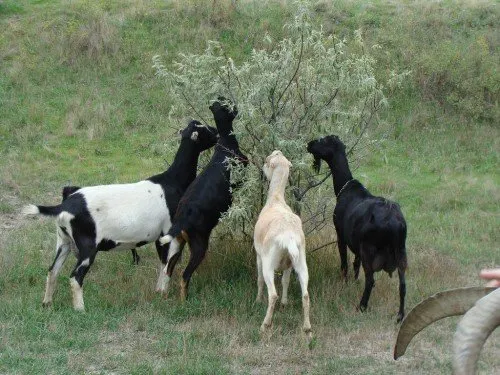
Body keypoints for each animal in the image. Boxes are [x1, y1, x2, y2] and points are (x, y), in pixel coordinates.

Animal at [23, 121, 218, 312]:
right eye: (205, 129)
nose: (217, 132)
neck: (172, 181)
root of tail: (64, 206)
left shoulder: (159, 236)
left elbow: (163, 263)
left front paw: (158, 291)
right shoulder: (167, 232)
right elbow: (167, 263)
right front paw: (163, 291)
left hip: (64, 241)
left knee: (52, 270)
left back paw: (47, 304)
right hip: (87, 247)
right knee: (75, 276)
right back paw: (80, 310)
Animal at [158, 97, 248, 302]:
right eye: (226, 105)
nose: (235, 105)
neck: (225, 144)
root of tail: (181, 220)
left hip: (178, 244)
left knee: (169, 268)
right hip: (199, 247)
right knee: (185, 276)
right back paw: (185, 301)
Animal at [254, 151, 312, 336]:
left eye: (267, 162)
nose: (262, 172)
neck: (276, 200)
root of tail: (289, 237)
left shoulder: (258, 255)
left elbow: (259, 279)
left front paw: (257, 300)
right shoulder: (288, 264)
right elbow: (286, 281)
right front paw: (285, 304)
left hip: (269, 263)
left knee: (272, 294)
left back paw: (265, 325)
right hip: (300, 261)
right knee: (305, 295)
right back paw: (307, 328)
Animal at [306, 136, 408, 324]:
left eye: (323, 140)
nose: (309, 144)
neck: (346, 187)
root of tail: (393, 222)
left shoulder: (341, 235)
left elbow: (344, 263)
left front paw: (344, 282)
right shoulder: (356, 243)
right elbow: (355, 263)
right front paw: (353, 282)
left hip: (370, 249)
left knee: (370, 280)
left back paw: (361, 306)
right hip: (401, 252)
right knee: (402, 284)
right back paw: (400, 315)